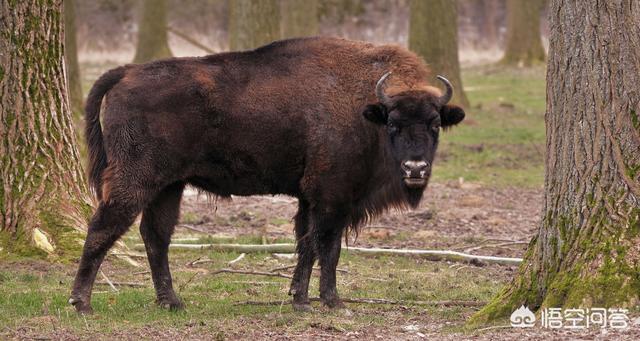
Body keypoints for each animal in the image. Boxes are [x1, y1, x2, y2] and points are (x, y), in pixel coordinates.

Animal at [70, 35, 462, 312]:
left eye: (435, 124)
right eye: (393, 124)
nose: (415, 168)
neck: (367, 110)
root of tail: (128, 71)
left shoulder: (309, 198)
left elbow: (306, 245)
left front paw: (300, 298)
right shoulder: (331, 197)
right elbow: (328, 246)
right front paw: (332, 301)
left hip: (169, 186)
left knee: (156, 237)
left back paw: (172, 302)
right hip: (136, 179)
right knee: (103, 227)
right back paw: (81, 303)